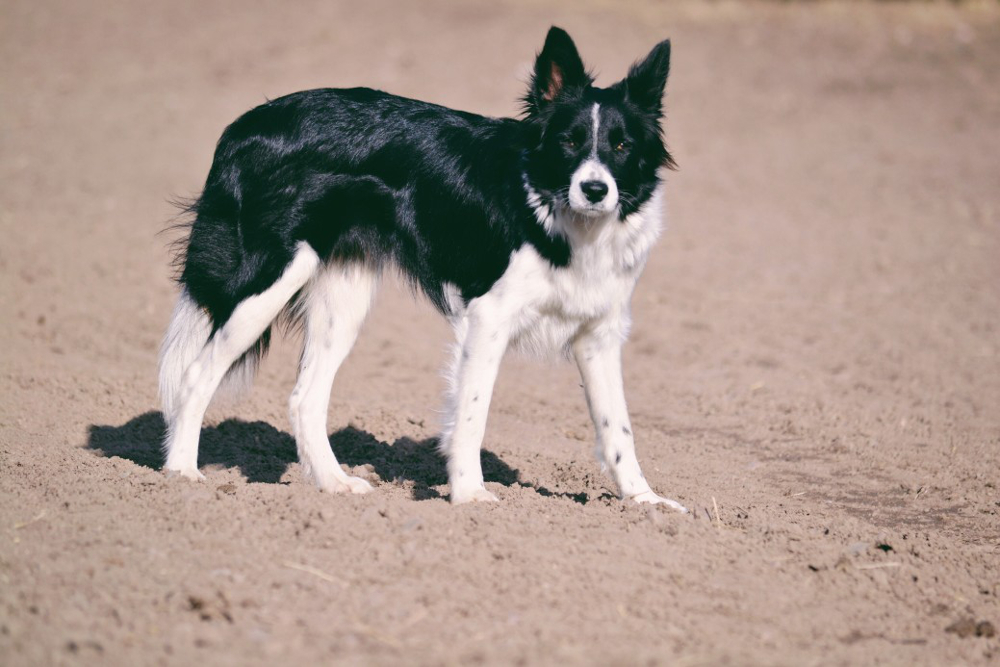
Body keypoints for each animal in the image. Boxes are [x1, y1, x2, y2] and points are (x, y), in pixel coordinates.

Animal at [160, 24, 688, 506]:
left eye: (621, 146)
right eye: (570, 142)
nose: (595, 190)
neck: (554, 210)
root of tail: (245, 123)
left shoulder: (599, 333)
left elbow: (618, 427)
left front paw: (646, 504)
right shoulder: (489, 317)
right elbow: (473, 414)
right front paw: (470, 497)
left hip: (343, 298)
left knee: (303, 398)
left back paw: (333, 485)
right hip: (268, 278)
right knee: (196, 373)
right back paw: (180, 475)